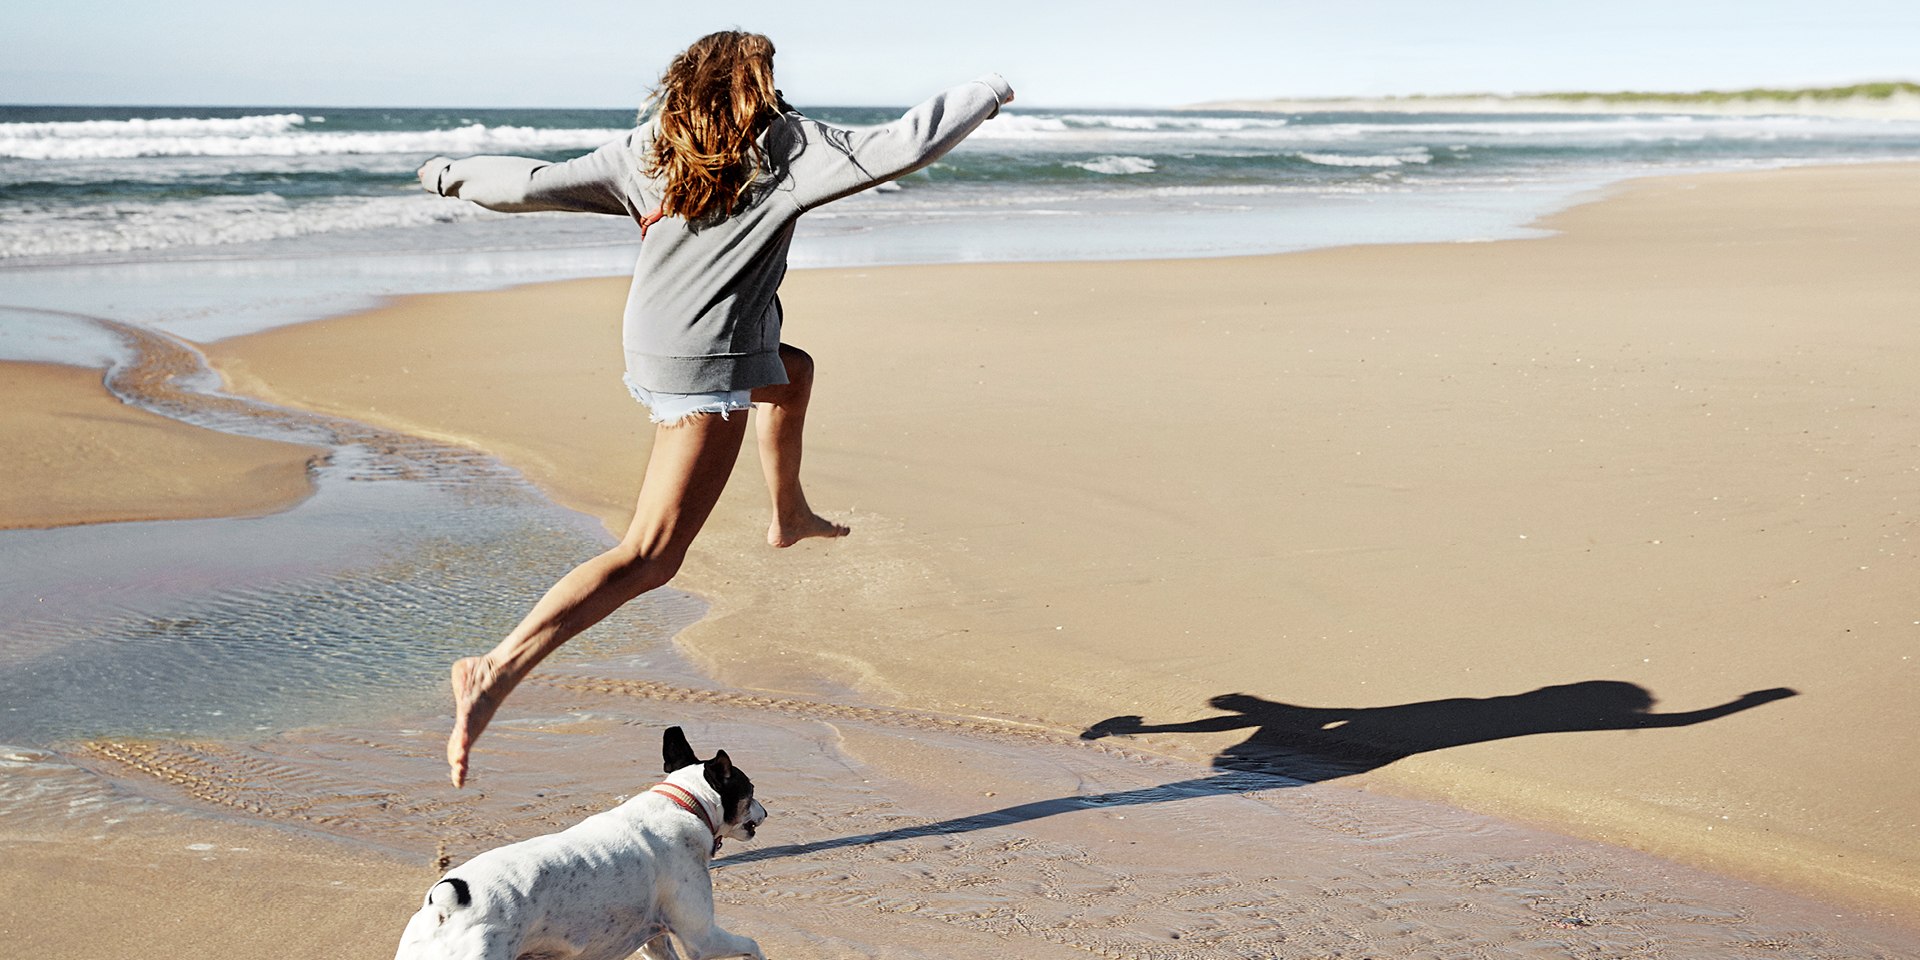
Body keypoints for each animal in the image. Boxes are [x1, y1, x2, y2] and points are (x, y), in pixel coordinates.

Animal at [393, 725, 768, 960]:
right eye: (751, 791)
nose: (766, 812)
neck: (684, 803)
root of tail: (448, 900)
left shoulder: (655, 941)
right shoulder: (701, 938)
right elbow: (753, 944)